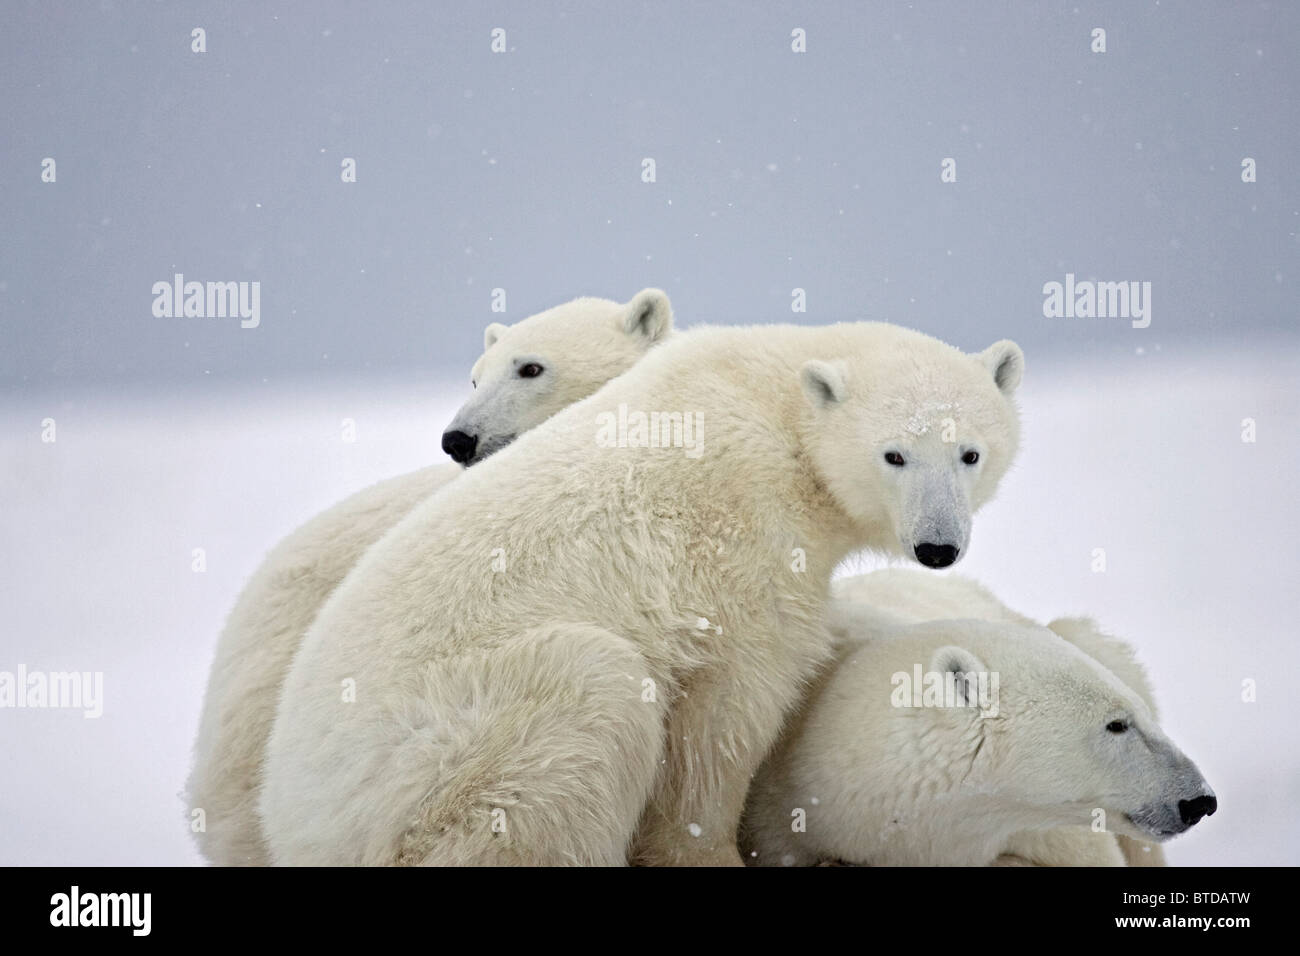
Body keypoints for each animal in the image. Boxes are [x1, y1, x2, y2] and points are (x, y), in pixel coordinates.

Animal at [253, 321, 1024, 868]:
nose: (937, 546)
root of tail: (292, 822)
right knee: (587, 698)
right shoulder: (742, 543)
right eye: (893, 454)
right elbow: (727, 711)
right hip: (433, 760)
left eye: (971, 453)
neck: (773, 403)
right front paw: (708, 850)